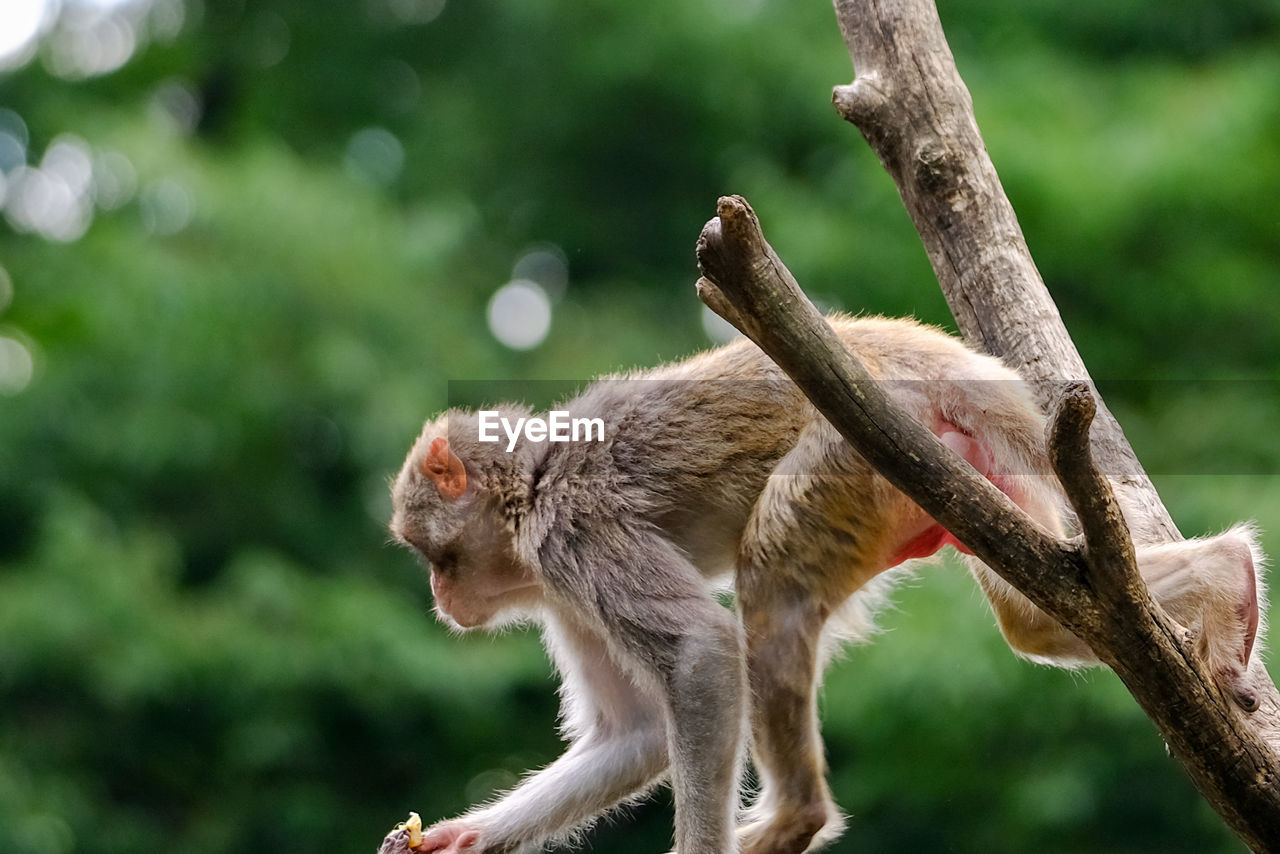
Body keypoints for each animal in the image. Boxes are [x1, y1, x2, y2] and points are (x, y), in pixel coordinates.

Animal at [384, 316, 1264, 854]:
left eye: (435, 558)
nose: (441, 602)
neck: (533, 482)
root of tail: (943, 364)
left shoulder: (572, 535)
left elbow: (703, 654)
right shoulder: (560, 585)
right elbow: (635, 733)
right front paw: (461, 836)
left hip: (854, 450)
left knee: (772, 590)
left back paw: (793, 818)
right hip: (966, 475)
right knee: (1038, 614)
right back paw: (1225, 580)